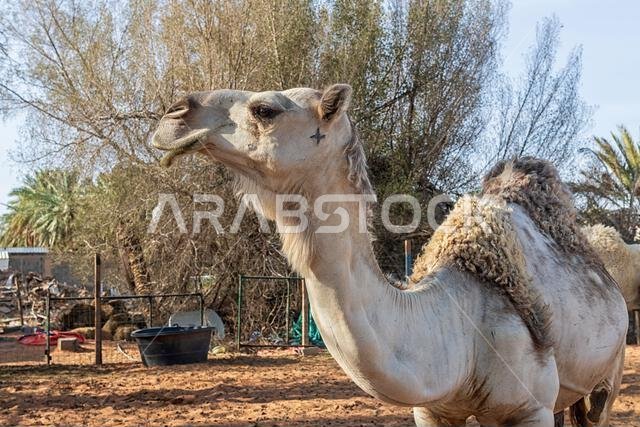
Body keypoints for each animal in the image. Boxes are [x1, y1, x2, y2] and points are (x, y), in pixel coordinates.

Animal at [151, 84, 627, 426]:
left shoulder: (529, 409)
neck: (462, 325)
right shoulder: (433, 410)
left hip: (608, 375)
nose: (173, 114)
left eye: (265, 110)